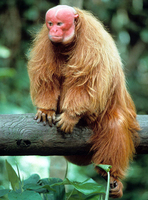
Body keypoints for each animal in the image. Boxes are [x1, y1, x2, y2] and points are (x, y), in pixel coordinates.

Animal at [27, 5, 139, 198]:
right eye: (50, 24)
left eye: (59, 24)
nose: (54, 31)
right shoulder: (45, 41)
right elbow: (47, 73)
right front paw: (46, 109)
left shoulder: (92, 43)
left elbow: (87, 81)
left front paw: (71, 116)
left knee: (115, 124)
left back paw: (112, 176)